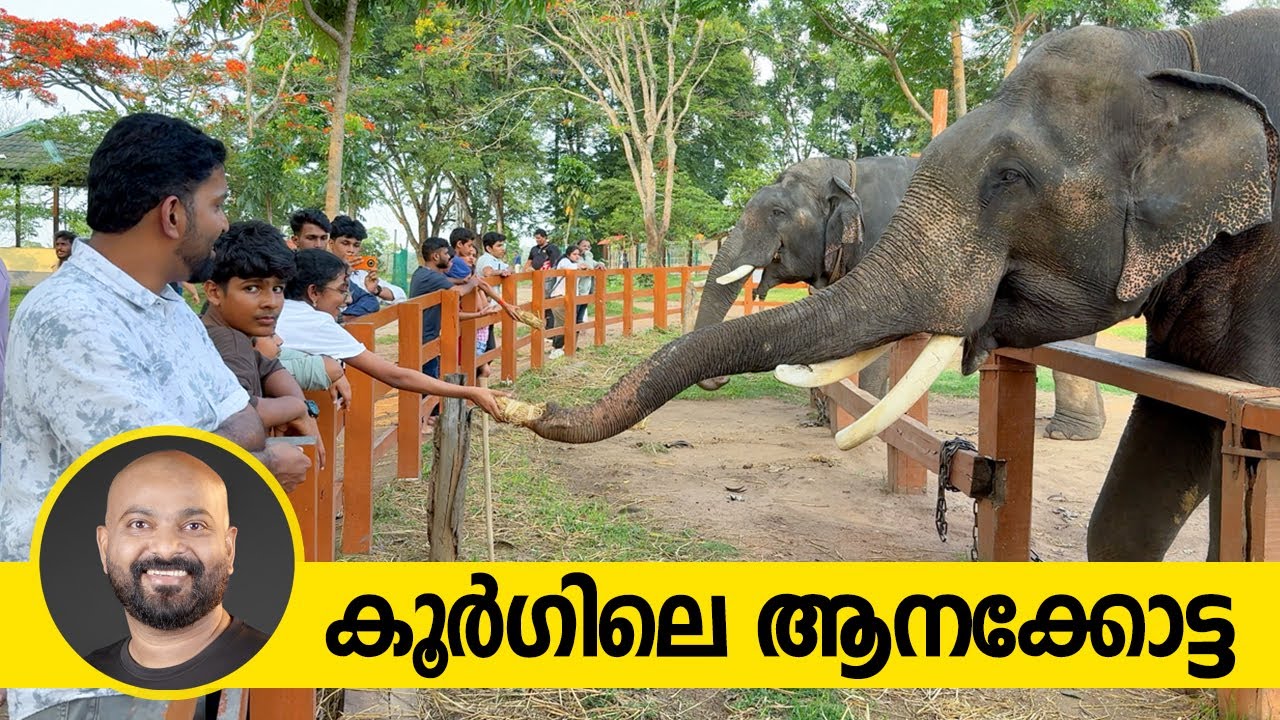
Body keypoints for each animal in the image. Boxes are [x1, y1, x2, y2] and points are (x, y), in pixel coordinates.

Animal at [694, 155, 1108, 441]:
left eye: (777, 212)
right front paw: (823, 417)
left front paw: (860, 412)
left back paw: (1067, 433)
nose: (721, 382)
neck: (846, 170)